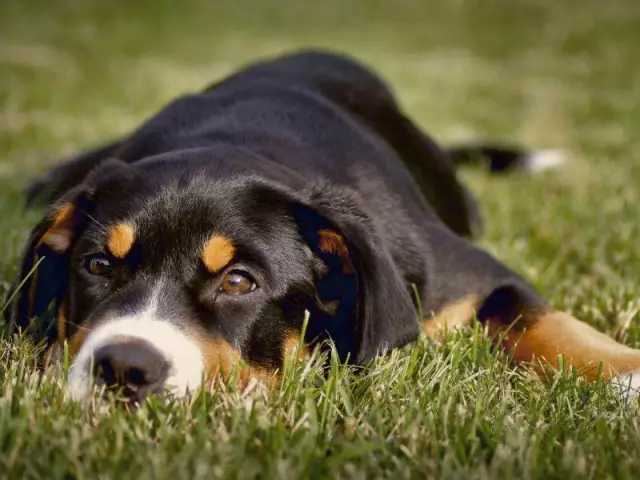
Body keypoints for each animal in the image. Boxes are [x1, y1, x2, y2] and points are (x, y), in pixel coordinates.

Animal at [5, 50, 640, 404]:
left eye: (239, 281)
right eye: (97, 265)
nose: (123, 369)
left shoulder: (472, 272)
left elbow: (542, 320)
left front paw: (626, 378)